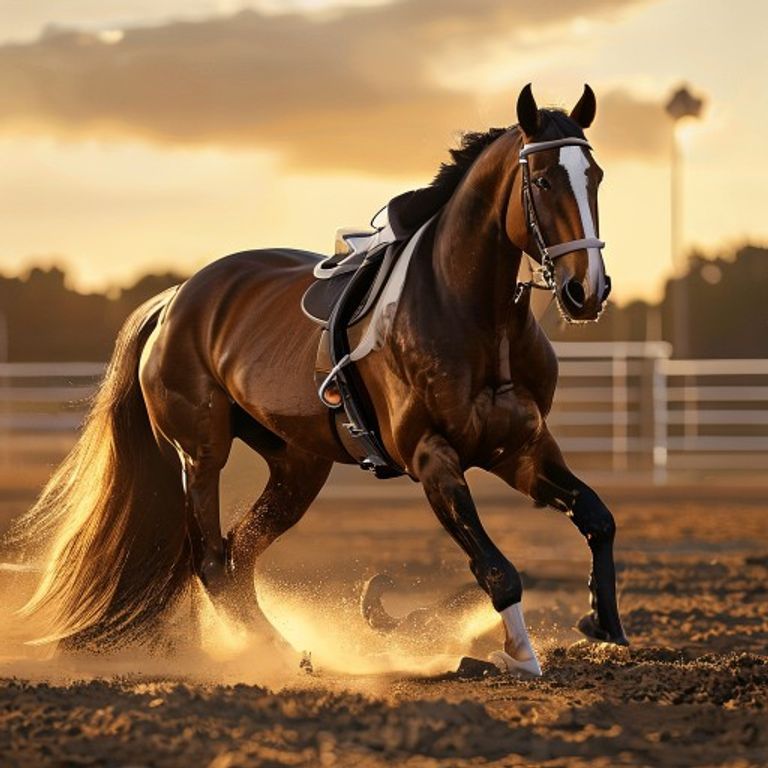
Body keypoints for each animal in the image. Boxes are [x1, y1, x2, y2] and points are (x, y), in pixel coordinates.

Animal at [14, 84, 627, 674]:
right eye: (543, 179)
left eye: (596, 177)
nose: (587, 290)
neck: (470, 315)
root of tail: (174, 301)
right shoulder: (433, 459)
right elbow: (496, 567)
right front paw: (517, 655)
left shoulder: (521, 450)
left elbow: (598, 518)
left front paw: (604, 625)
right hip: (201, 455)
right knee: (211, 560)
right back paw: (282, 654)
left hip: (297, 466)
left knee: (239, 555)